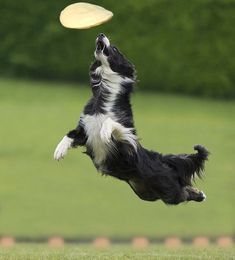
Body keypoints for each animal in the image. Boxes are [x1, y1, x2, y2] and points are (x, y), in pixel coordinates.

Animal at [53, 33, 209, 205]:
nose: (101, 34)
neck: (103, 95)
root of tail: (162, 159)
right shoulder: (85, 128)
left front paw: (105, 132)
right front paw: (59, 151)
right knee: (182, 189)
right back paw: (199, 194)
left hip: (168, 189)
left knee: (182, 192)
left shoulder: (128, 142)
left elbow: (112, 123)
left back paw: (201, 194)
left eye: (115, 49)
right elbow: (71, 134)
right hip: (147, 194)